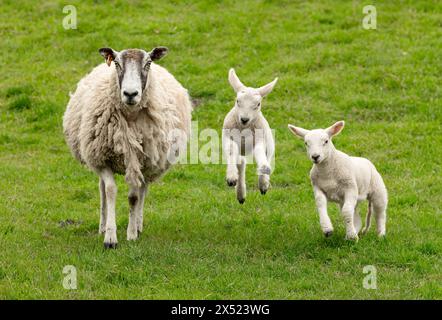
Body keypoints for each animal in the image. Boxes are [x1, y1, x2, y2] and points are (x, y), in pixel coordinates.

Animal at [62, 46, 192, 249]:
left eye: (148, 63)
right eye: (116, 63)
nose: (130, 94)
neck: (130, 116)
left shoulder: (140, 162)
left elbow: (134, 197)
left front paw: (131, 234)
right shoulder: (103, 159)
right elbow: (110, 191)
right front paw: (110, 237)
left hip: (149, 163)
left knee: (143, 190)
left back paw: (138, 225)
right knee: (102, 189)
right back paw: (102, 226)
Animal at [223, 69, 278, 204]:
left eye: (258, 104)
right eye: (237, 101)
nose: (244, 119)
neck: (244, 129)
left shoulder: (260, 138)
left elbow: (260, 153)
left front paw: (263, 177)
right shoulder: (228, 137)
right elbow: (231, 150)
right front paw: (231, 177)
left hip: (269, 142)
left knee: (266, 156)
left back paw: (263, 184)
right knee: (241, 163)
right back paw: (240, 194)